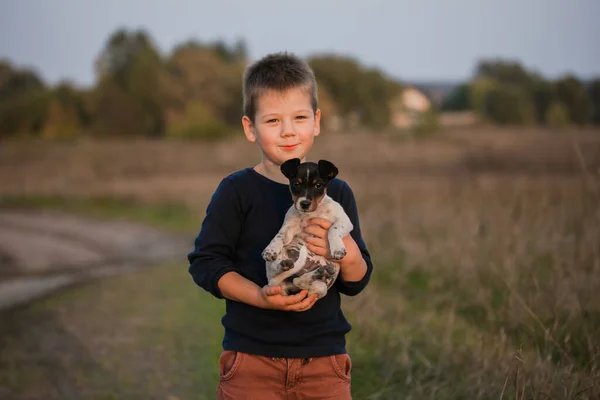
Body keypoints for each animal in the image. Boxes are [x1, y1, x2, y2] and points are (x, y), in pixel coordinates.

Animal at [262, 158, 354, 298]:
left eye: (318, 185)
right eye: (296, 184)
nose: (304, 203)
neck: (312, 213)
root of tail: (289, 287)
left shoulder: (344, 220)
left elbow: (333, 230)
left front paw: (337, 249)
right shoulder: (289, 227)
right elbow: (279, 235)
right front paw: (270, 249)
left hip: (321, 287)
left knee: (300, 281)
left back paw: (319, 272)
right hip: (279, 262)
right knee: (284, 272)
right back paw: (286, 265)